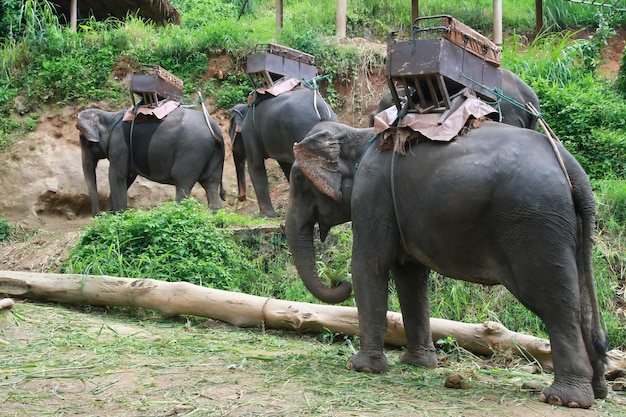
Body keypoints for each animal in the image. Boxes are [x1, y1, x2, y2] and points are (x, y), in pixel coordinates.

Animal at [77, 105, 224, 216]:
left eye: (86, 142)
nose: (98, 215)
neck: (110, 116)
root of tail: (215, 127)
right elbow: (128, 178)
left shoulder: (119, 145)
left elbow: (117, 176)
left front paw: (116, 218)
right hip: (211, 155)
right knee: (211, 184)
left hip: (192, 151)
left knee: (182, 182)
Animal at [227, 83, 336, 216]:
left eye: (229, 131)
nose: (241, 198)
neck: (245, 109)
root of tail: (320, 108)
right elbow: (285, 166)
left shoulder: (249, 132)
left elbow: (256, 165)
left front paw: (266, 216)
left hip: (301, 129)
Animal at [286, 119, 608, 406]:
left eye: (298, 179)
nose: (339, 281)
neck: (358, 133)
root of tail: (570, 165)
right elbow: (410, 275)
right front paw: (417, 364)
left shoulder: (372, 195)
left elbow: (369, 266)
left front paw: (362, 367)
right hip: (571, 229)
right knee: (581, 300)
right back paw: (597, 391)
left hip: (536, 226)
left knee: (556, 303)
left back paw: (565, 399)